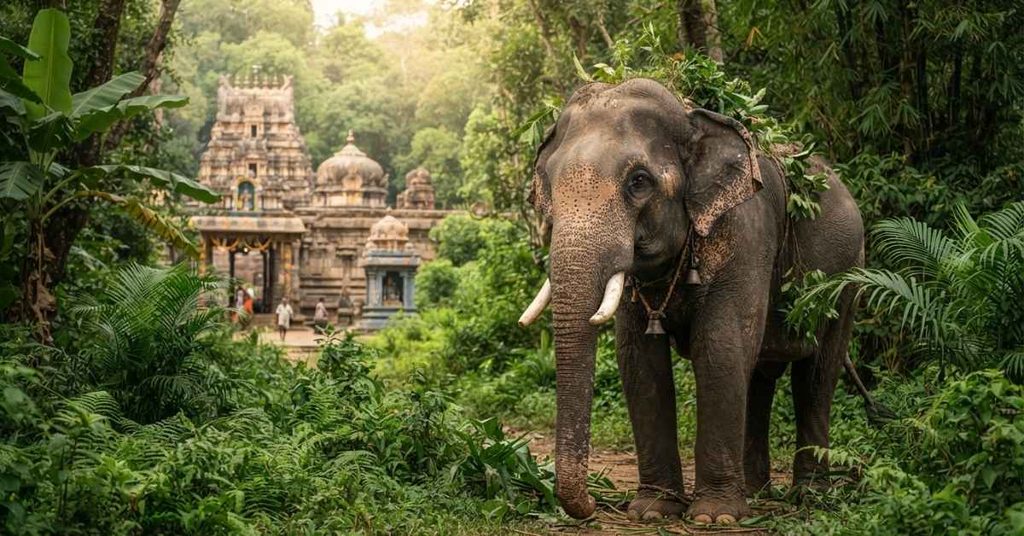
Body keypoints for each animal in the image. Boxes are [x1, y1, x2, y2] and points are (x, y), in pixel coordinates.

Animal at [517, 78, 865, 524]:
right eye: (548, 182)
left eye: (639, 181)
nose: (595, 504)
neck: (692, 116)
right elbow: (639, 360)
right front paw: (652, 512)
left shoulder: (744, 232)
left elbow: (719, 348)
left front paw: (712, 517)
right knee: (761, 373)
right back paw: (756, 491)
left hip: (847, 277)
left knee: (817, 374)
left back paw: (809, 495)